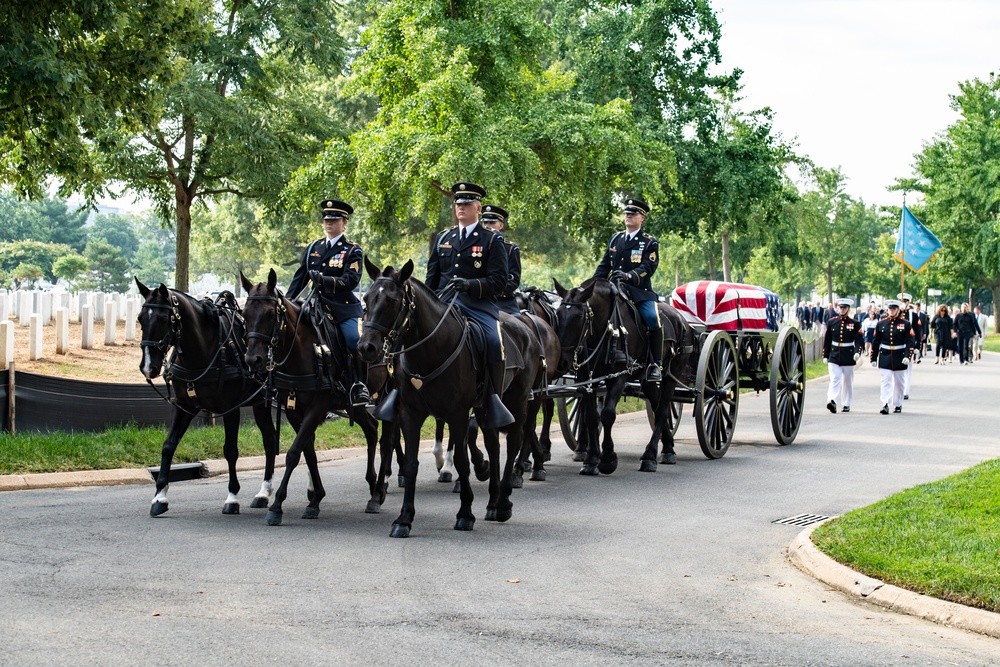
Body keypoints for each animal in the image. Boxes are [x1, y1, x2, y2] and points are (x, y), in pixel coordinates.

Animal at [134, 276, 278, 516]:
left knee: (273, 439)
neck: (204, 350)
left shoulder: (231, 409)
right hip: (260, 401)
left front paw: (232, 497)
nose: (148, 367)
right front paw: (160, 496)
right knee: (270, 438)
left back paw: (268, 491)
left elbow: (230, 450)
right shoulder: (183, 406)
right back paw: (264, 493)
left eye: (163, 319)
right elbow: (168, 445)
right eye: (140, 319)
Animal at [242, 268, 394, 524]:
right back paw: (374, 486)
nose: (254, 359)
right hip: (355, 405)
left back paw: (378, 493)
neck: (301, 349)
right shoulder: (293, 410)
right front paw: (315, 499)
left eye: (270, 313)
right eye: (244, 314)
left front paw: (277, 506)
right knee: (372, 430)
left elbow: (294, 453)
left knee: (387, 440)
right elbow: (308, 452)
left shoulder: (318, 407)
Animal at [354, 258, 536, 540]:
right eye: (366, 299)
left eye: (393, 301)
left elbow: (461, 459)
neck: (430, 350)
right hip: (487, 406)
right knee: (494, 446)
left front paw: (465, 513)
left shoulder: (457, 413)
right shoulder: (410, 413)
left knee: (514, 440)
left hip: (516, 401)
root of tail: (525, 327)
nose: (366, 348)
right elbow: (411, 463)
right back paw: (493, 500)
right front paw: (404, 518)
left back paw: (504, 501)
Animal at [552, 276, 692, 474]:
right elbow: (591, 417)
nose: (562, 361)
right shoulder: (587, 379)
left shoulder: (618, 376)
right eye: (558, 314)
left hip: (672, 375)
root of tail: (680, 318)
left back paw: (650, 456)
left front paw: (608, 458)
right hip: (647, 380)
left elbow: (607, 414)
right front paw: (591, 459)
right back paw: (668, 448)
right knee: (657, 407)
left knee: (663, 410)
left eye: (579, 317)